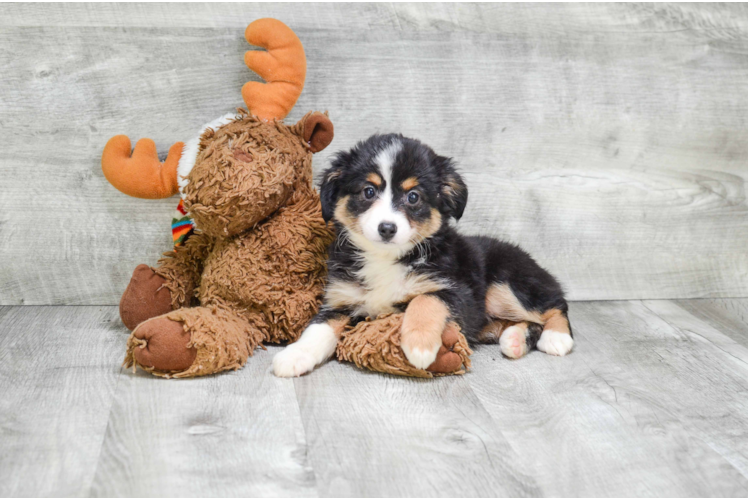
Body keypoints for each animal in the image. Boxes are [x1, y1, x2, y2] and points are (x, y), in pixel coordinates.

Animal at [274, 135, 572, 376]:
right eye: (368, 191)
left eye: (414, 197)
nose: (387, 228)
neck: (385, 259)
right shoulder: (340, 301)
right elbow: (318, 329)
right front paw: (294, 356)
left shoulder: (457, 291)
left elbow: (425, 299)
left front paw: (419, 346)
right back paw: (514, 339)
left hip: (504, 285)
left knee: (554, 304)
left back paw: (556, 337)